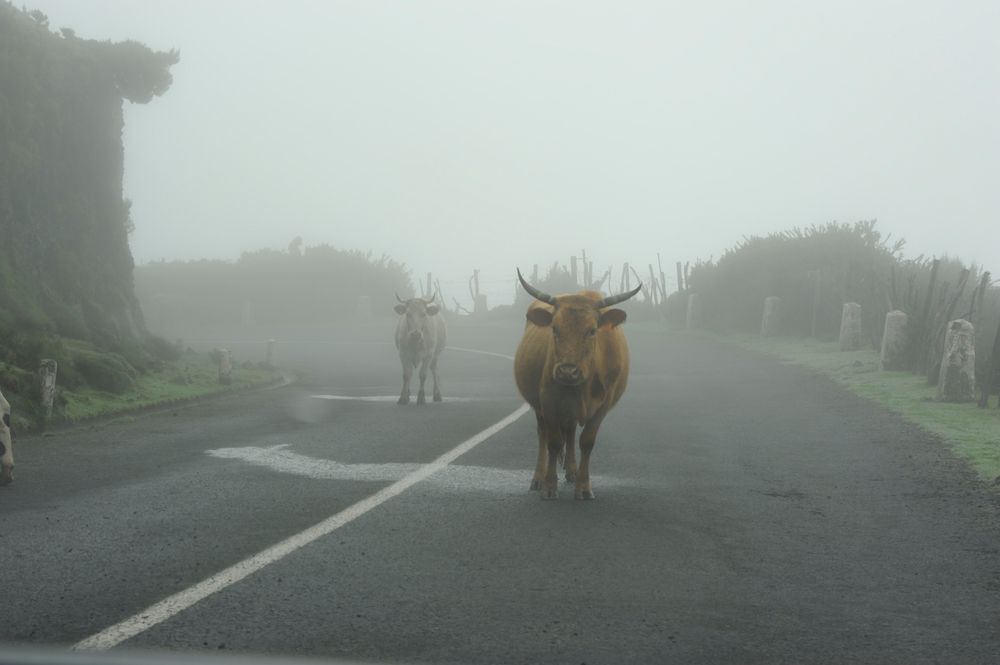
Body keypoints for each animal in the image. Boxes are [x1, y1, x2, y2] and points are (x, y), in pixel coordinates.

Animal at [516, 270, 640, 498]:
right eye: (554, 328)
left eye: (592, 331)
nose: (567, 371)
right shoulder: (548, 401)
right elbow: (553, 443)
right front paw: (549, 486)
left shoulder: (603, 405)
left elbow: (587, 442)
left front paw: (583, 487)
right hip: (540, 407)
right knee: (543, 434)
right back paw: (538, 478)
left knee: (571, 432)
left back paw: (572, 472)